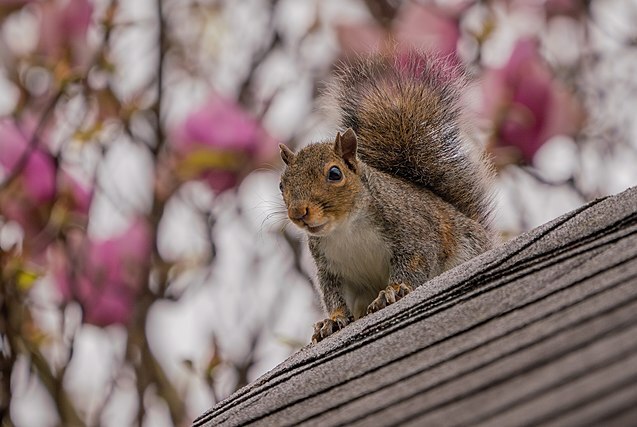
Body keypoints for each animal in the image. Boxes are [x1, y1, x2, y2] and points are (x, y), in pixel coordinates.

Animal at [280, 51, 496, 344]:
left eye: (334, 173)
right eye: (281, 185)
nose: (298, 212)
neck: (346, 229)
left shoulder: (414, 233)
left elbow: (414, 264)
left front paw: (392, 290)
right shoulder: (330, 268)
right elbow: (334, 295)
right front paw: (331, 321)